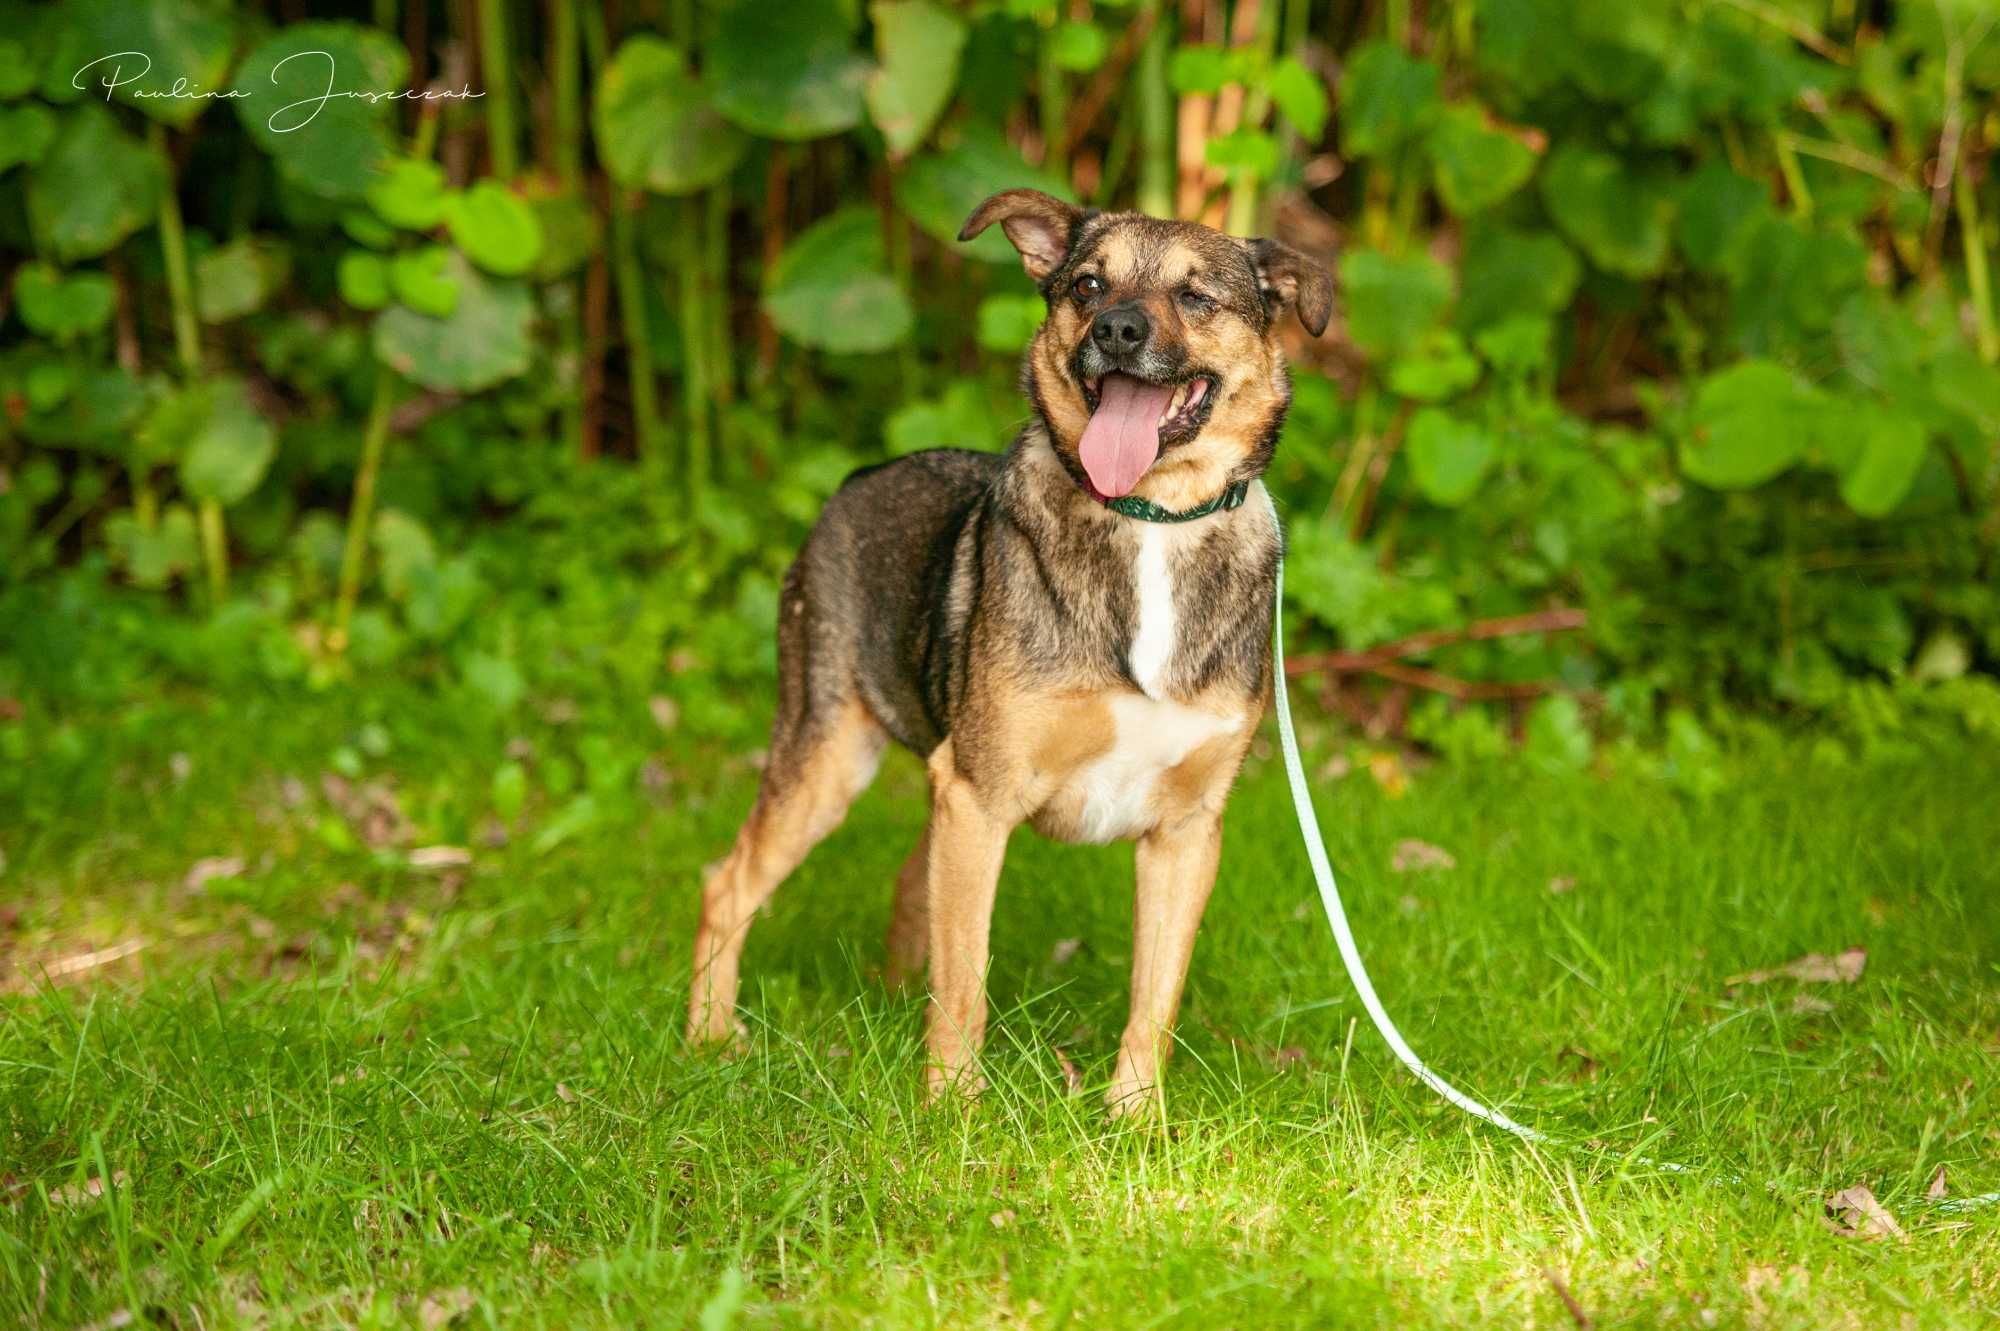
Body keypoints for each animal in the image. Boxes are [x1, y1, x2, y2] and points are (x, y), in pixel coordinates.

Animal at [688, 186, 1328, 1111]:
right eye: (1088, 285)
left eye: (1196, 296)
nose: (1118, 331)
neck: (1150, 518)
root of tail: (852, 480)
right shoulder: (979, 795)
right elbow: (966, 981)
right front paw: (952, 1109)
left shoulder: (1187, 832)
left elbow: (1155, 999)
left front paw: (1136, 1121)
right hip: (829, 752)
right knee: (729, 880)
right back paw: (709, 1033)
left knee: (904, 885)